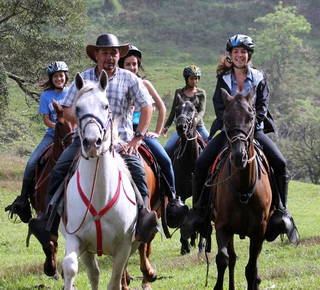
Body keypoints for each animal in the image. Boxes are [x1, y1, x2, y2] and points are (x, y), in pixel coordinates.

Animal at [62, 71, 138, 290]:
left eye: (105, 106)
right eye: (78, 108)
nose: (92, 142)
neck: (99, 195)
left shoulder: (124, 245)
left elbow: (115, 281)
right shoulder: (75, 237)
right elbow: (70, 267)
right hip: (88, 251)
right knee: (93, 274)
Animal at [210, 89, 272, 290]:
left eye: (251, 117)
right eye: (226, 118)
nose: (239, 156)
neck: (243, 187)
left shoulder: (259, 231)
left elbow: (251, 269)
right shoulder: (222, 226)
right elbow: (223, 259)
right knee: (231, 259)